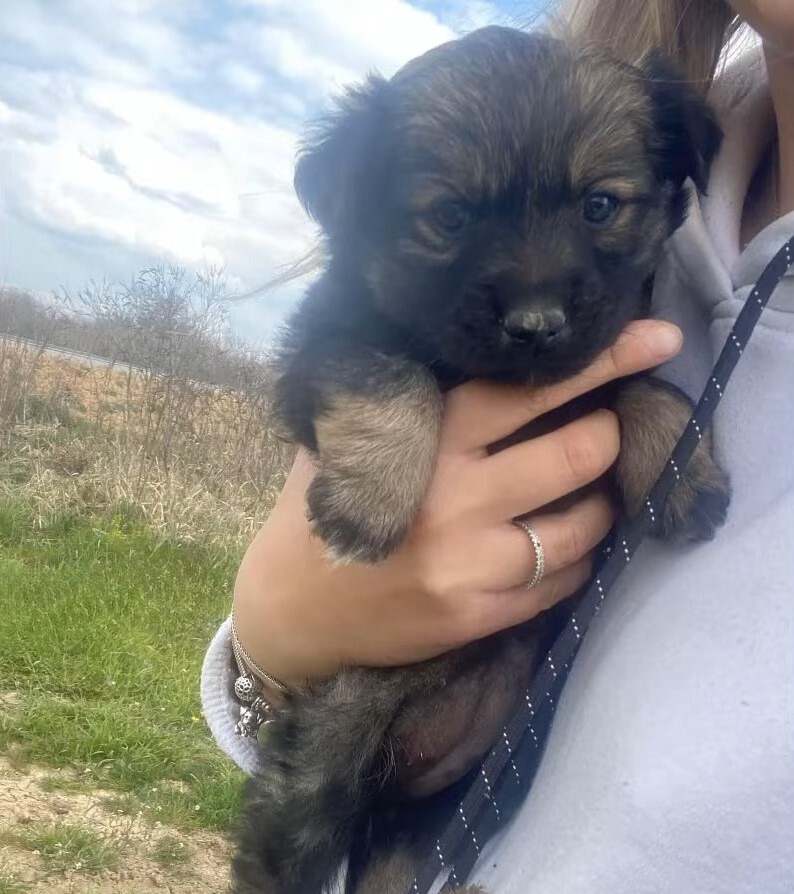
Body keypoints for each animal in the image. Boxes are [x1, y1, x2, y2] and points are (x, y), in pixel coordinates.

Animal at [230, 26, 732, 894]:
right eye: (450, 217)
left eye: (600, 206)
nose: (535, 325)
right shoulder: (324, 343)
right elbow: (389, 373)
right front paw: (370, 503)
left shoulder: (606, 346)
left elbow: (645, 383)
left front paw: (683, 469)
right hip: (322, 762)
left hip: (458, 806)